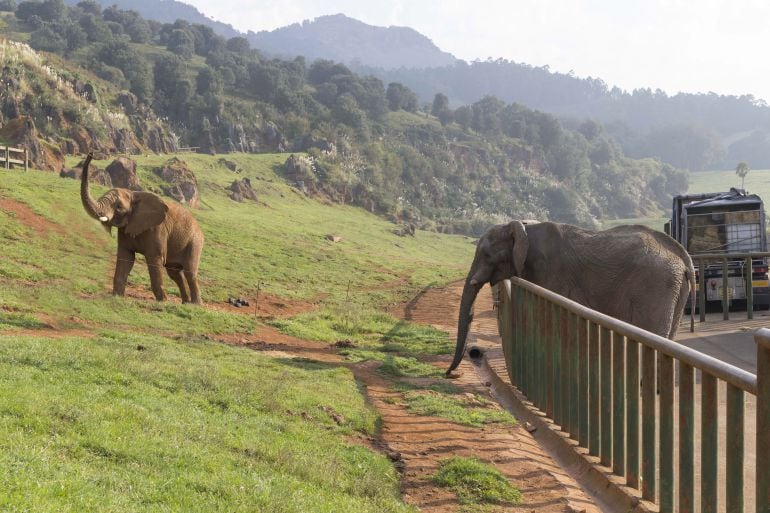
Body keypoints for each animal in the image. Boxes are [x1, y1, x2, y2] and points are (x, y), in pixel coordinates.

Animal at [80, 152, 204, 304]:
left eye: (119, 207)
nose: (91, 153)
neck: (134, 194)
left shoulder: (157, 229)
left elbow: (154, 259)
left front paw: (163, 301)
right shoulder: (126, 229)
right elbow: (126, 257)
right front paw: (117, 297)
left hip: (195, 241)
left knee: (189, 272)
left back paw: (196, 305)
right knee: (174, 273)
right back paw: (185, 303)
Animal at [448, 220, 692, 376]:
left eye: (486, 254)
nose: (450, 373)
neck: (520, 227)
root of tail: (682, 255)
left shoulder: (550, 271)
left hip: (655, 285)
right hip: (675, 289)